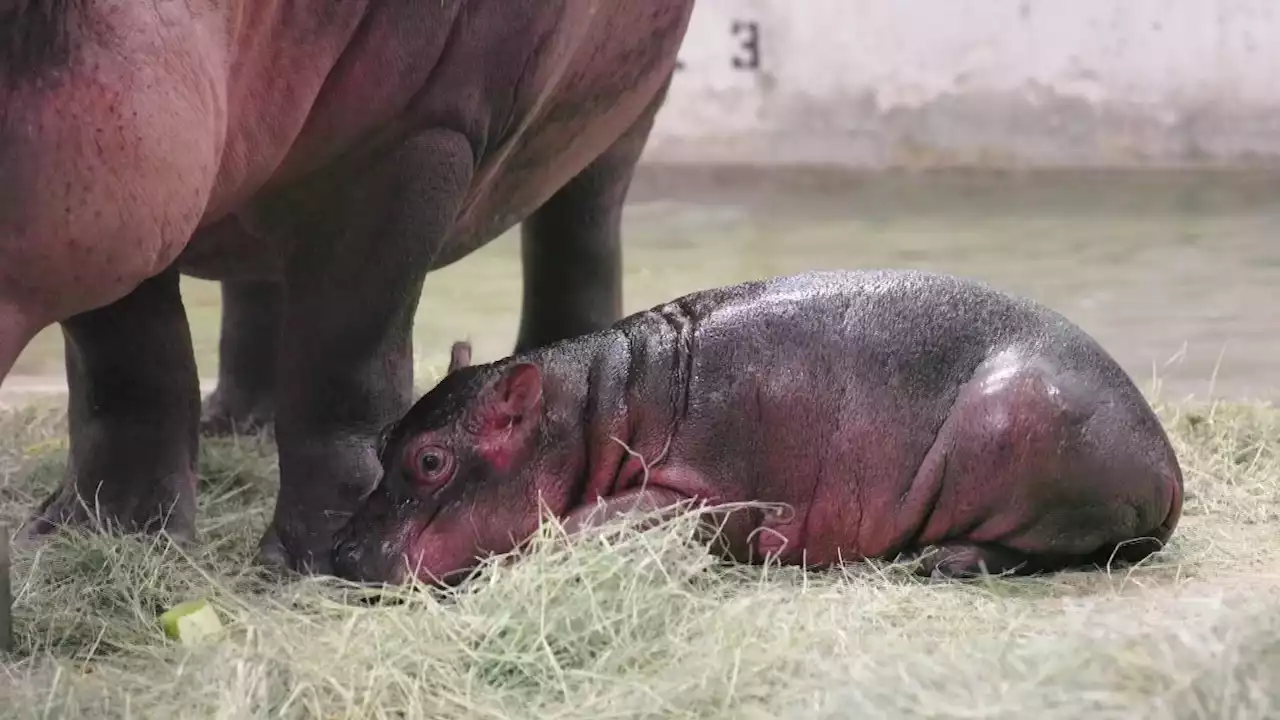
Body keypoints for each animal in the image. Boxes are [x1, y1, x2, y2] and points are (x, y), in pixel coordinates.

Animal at [0, 0, 696, 571]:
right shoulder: (121, 216)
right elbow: (127, 364)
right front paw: (96, 536)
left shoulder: (414, 136)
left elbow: (345, 359)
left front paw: (320, 562)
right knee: (262, 284)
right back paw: (237, 426)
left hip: (624, 110)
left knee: (581, 225)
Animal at [330, 267, 1177, 584]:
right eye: (384, 440)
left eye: (432, 461)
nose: (337, 551)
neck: (589, 409)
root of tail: (1168, 465)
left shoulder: (713, 496)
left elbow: (587, 523)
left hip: (1021, 428)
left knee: (1050, 547)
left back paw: (941, 558)